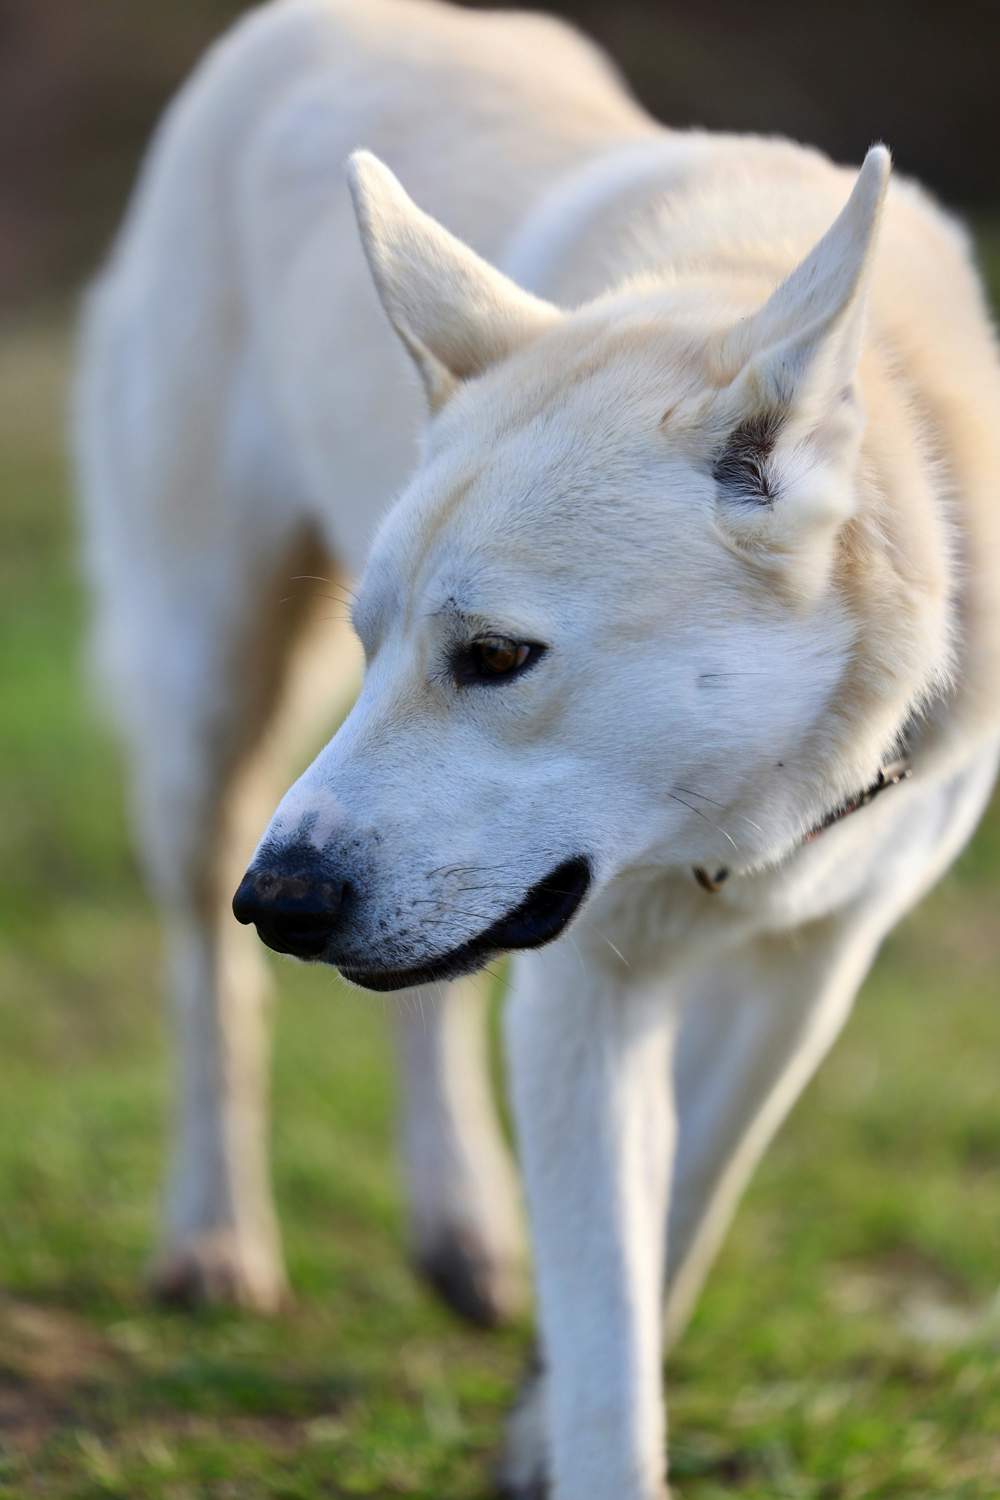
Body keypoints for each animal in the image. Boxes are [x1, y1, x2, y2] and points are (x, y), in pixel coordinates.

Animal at [78, 2, 1000, 1500]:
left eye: (498, 657)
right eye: (381, 634)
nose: (284, 904)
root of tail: (319, 19)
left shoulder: (811, 967)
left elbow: (673, 1222)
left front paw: (534, 1413)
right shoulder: (586, 988)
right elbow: (613, 1325)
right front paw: (575, 1424)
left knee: (410, 995)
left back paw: (461, 1231)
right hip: (211, 701)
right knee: (208, 982)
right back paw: (216, 1241)